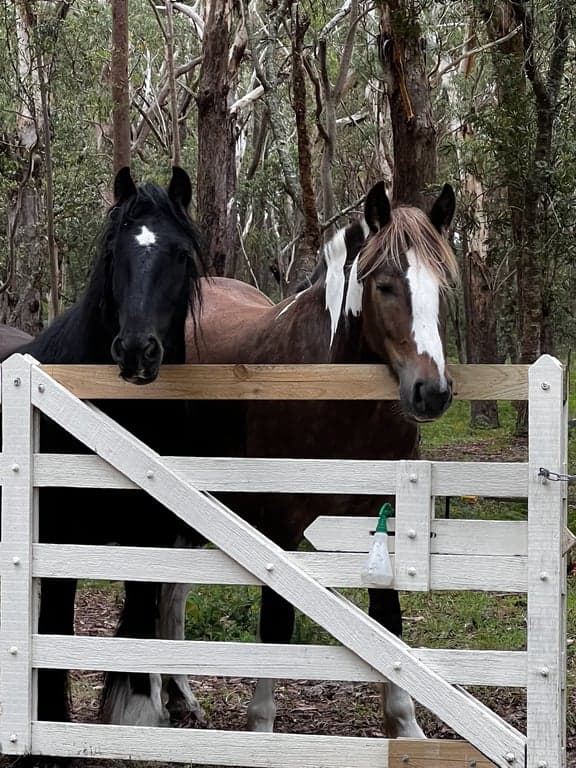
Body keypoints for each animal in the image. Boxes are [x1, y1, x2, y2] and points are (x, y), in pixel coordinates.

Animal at [0, 166, 206, 732]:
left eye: (181, 255)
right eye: (115, 251)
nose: (137, 351)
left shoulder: (151, 538)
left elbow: (138, 625)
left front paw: (137, 713)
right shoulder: (57, 540)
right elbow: (54, 631)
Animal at [173, 180, 458, 737]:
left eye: (442, 287)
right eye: (385, 285)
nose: (431, 392)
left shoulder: (381, 516)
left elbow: (388, 617)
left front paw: (405, 726)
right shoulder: (281, 524)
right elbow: (276, 623)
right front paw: (261, 727)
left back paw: (179, 698)